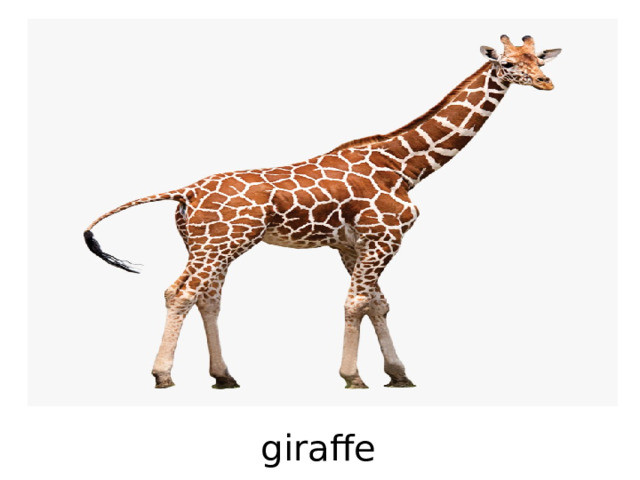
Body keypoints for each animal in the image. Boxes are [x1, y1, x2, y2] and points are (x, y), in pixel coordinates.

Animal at [84, 35, 561, 389]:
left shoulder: (353, 244)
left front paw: (398, 374)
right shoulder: (384, 236)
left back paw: (224, 376)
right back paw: (163, 375)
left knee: (206, 296)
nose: (546, 81)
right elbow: (357, 302)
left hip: (207, 244)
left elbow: (377, 304)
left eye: (537, 58)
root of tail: (183, 192)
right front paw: (353, 377)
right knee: (181, 293)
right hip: (220, 243)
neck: (407, 166)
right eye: (508, 64)